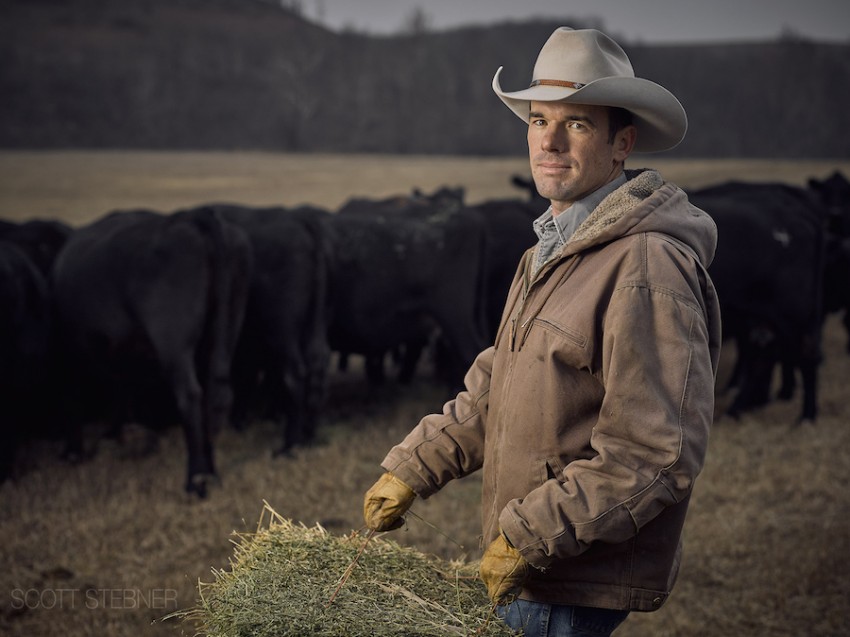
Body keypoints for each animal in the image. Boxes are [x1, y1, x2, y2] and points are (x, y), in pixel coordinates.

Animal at [51, 206, 250, 494]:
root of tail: (193, 217)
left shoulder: (71, 350)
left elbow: (75, 394)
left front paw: (74, 451)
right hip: (227, 326)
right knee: (214, 397)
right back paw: (209, 471)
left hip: (173, 341)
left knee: (190, 396)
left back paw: (196, 478)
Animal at [209, 204, 332, 452]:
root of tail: (301, 220)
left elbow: (243, 377)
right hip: (314, 323)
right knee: (317, 365)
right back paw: (308, 432)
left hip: (282, 328)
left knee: (294, 373)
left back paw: (289, 443)